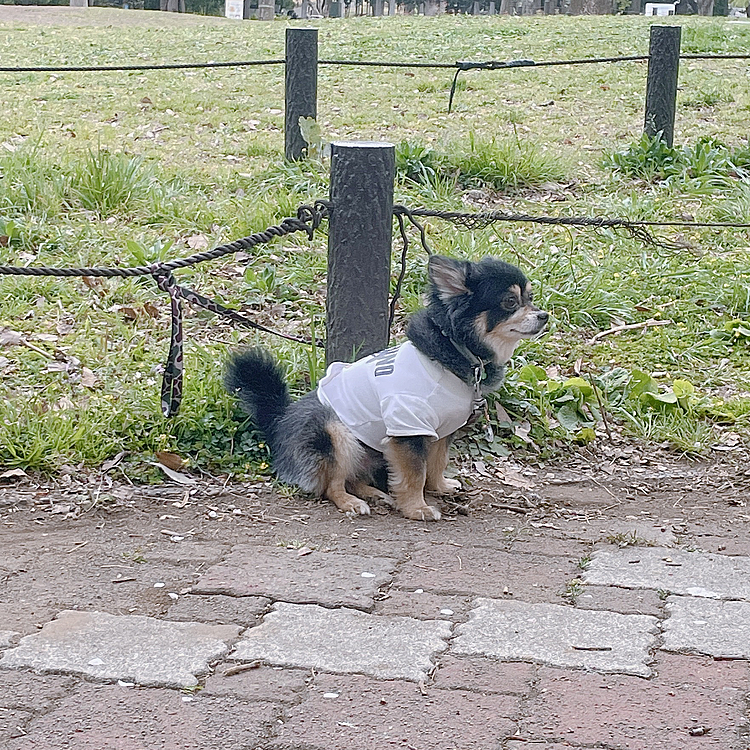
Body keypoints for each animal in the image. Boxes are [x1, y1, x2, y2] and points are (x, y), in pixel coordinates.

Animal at [226, 256, 548, 520]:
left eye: (530, 298)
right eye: (510, 302)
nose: (544, 315)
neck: (458, 350)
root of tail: (279, 420)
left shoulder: (440, 431)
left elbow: (437, 463)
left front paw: (440, 487)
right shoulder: (408, 426)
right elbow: (415, 473)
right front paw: (417, 508)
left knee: (355, 477)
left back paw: (374, 494)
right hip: (335, 433)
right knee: (332, 484)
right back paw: (351, 502)